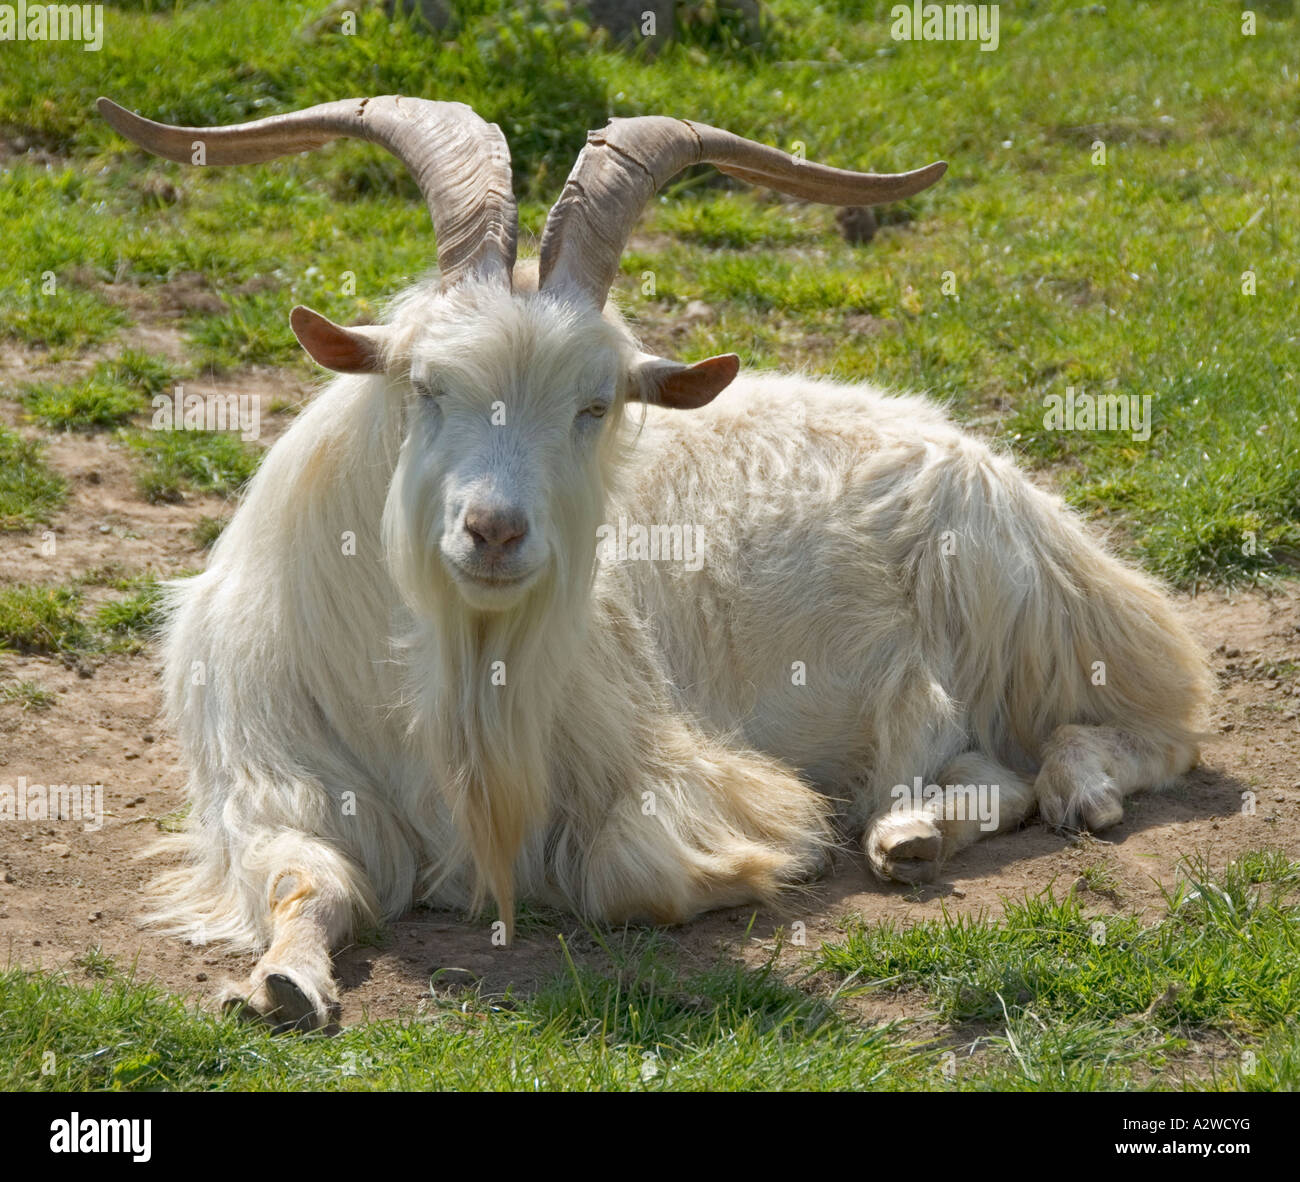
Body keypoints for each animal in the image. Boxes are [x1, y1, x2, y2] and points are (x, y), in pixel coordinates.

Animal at [98, 96, 1206, 1029]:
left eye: (595, 405)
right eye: (425, 385)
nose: (494, 532)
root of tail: (973, 452)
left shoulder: (666, 764)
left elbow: (630, 872)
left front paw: (781, 853)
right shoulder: (264, 777)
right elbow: (306, 876)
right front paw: (285, 981)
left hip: (1037, 619)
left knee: (1150, 733)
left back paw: (1073, 789)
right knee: (995, 772)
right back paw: (909, 830)